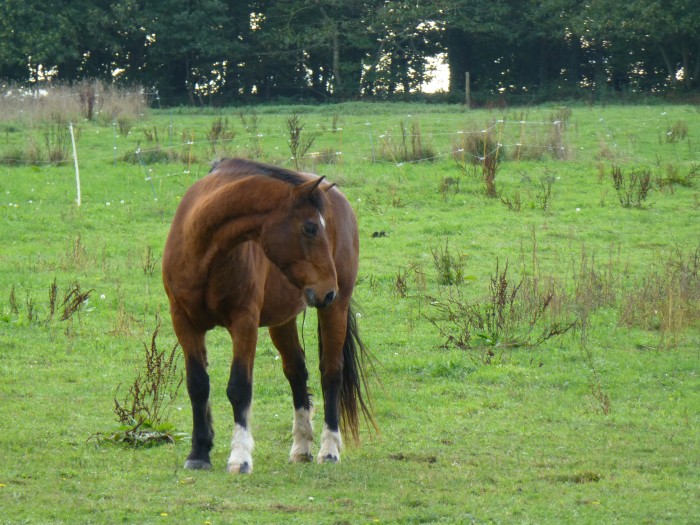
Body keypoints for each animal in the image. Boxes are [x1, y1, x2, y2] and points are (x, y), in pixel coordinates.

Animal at [162, 158, 374, 472]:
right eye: (310, 227)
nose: (328, 290)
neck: (202, 252)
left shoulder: (244, 323)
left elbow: (239, 387)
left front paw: (240, 457)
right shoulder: (184, 322)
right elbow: (198, 384)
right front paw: (199, 453)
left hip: (335, 310)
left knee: (331, 373)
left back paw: (329, 449)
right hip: (284, 320)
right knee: (297, 373)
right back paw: (301, 447)